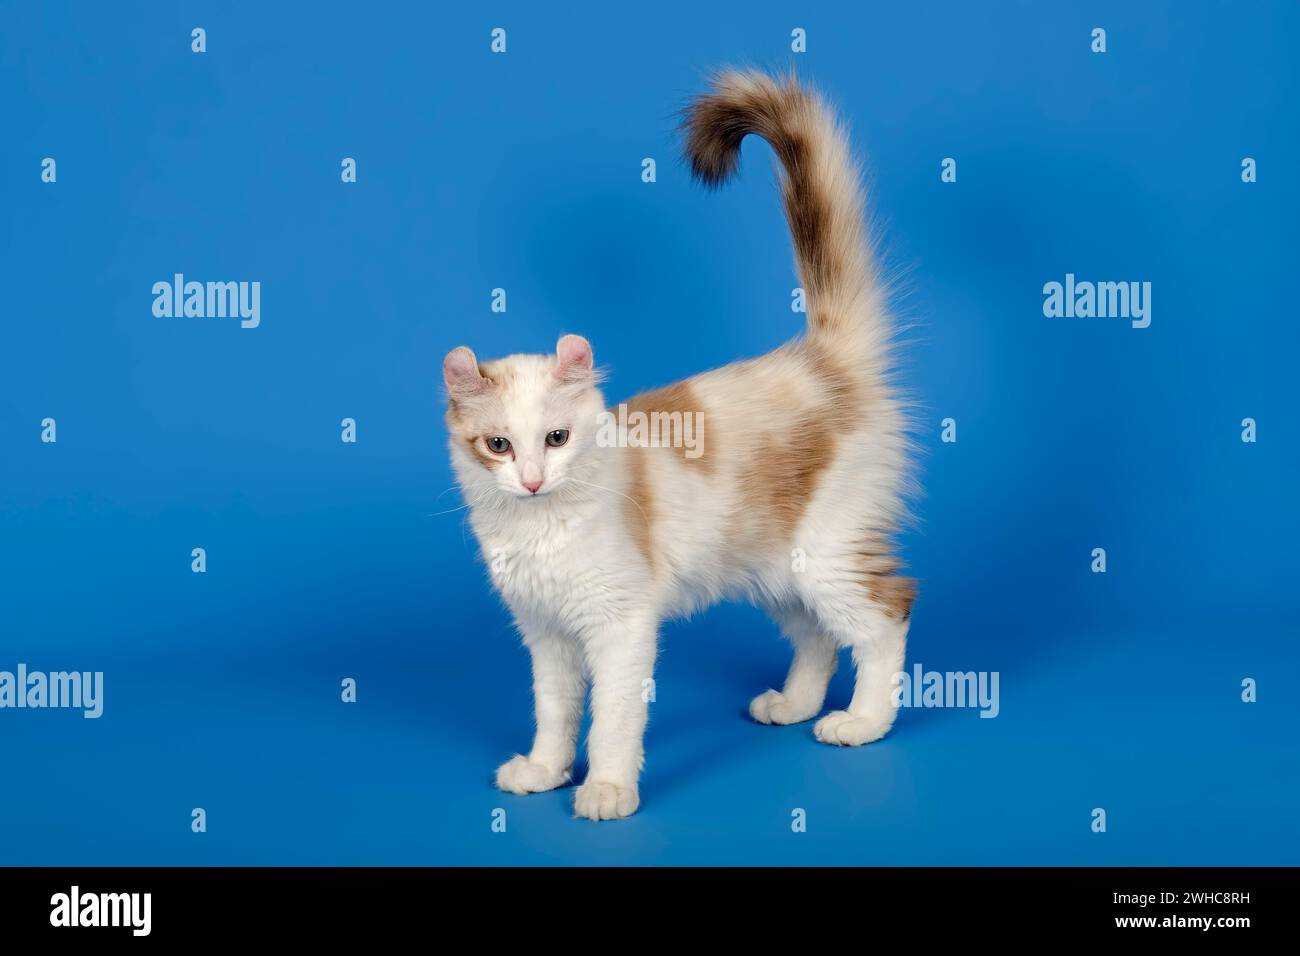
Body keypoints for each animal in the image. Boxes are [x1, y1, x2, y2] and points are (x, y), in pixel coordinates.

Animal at [444, 70, 915, 822]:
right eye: (497, 445)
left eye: (556, 438)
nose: (534, 479)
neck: (541, 527)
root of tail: (817, 358)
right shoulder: (546, 634)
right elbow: (555, 712)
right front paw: (546, 771)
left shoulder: (622, 625)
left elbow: (611, 719)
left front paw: (607, 789)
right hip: (773, 567)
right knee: (818, 634)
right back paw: (794, 705)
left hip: (827, 553)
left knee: (885, 619)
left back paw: (862, 722)